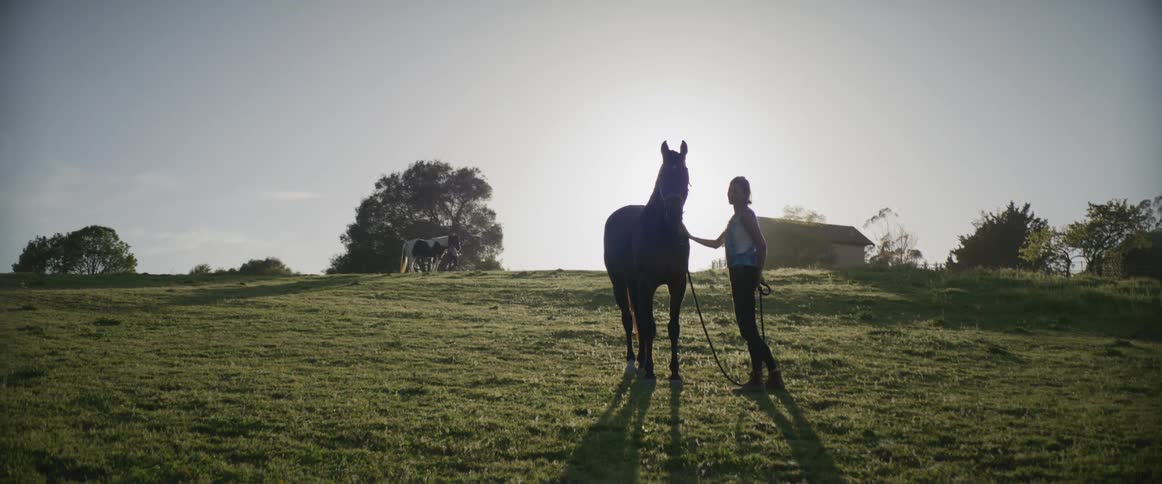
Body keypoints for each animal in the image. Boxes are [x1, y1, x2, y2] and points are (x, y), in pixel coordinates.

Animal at [604, 140, 690, 383]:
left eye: (685, 176)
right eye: (662, 177)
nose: (673, 214)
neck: (663, 235)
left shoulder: (677, 283)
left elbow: (673, 327)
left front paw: (675, 371)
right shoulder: (648, 284)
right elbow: (649, 325)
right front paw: (651, 370)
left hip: (634, 285)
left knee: (638, 318)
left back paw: (641, 360)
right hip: (620, 282)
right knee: (628, 319)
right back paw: (633, 363)